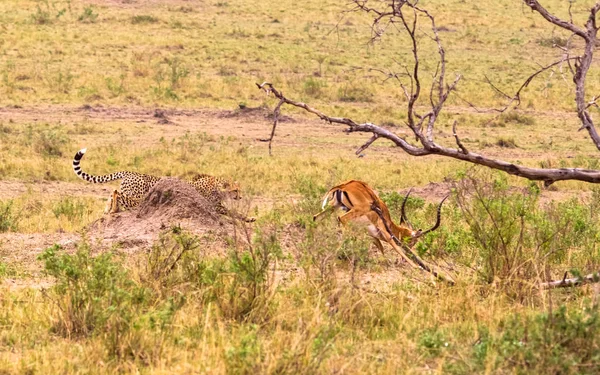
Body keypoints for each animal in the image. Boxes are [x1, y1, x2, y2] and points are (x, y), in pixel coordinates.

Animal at [74, 148, 254, 222]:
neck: (217, 186)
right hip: (135, 195)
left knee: (112, 195)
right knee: (116, 194)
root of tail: (129, 172)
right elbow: (233, 212)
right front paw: (249, 218)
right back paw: (113, 210)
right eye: (235, 190)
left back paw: (108, 211)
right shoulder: (214, 206)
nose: (240, 197)